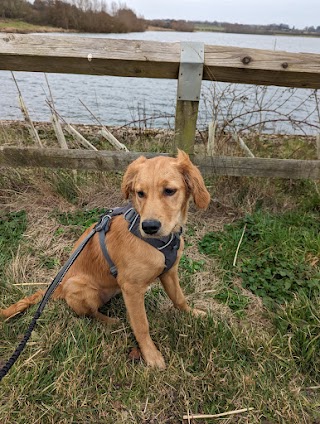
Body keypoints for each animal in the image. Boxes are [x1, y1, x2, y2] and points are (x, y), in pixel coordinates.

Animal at [0, 151, 210, 370]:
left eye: (169, 191)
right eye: (140, 193)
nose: (149, 226)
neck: (158, 242)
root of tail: (60, 286)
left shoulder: (169, 272)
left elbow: (179, 298)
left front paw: (192, 313)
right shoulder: (132, 288)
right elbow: (141, 325)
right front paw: (151, 355)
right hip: (80, 286)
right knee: (90, 313)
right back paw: (110, 321)